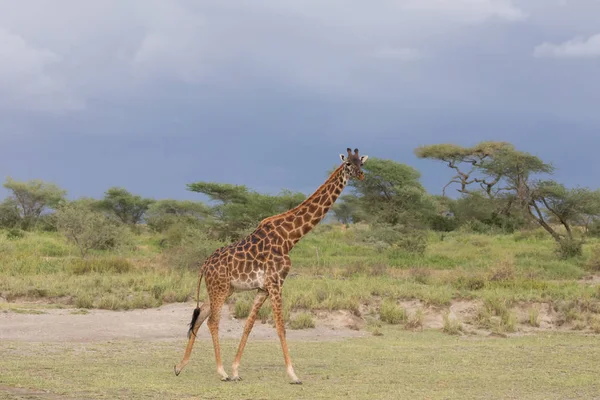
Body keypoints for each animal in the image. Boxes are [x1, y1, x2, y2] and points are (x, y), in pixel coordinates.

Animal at [173, 147, 368, 384]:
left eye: (361, 163)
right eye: (348, 164)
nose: (361, 175)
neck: (290, 237)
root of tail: (204, 265)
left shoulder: (263, 288)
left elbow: (248, 325)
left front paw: (236, 370)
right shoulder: (276, 283)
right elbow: (281, 327)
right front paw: (293, 375)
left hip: (223, 290)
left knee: (200, 317)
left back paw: (180, 366)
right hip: (219, 289)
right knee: (212, 322)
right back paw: (221, 372)